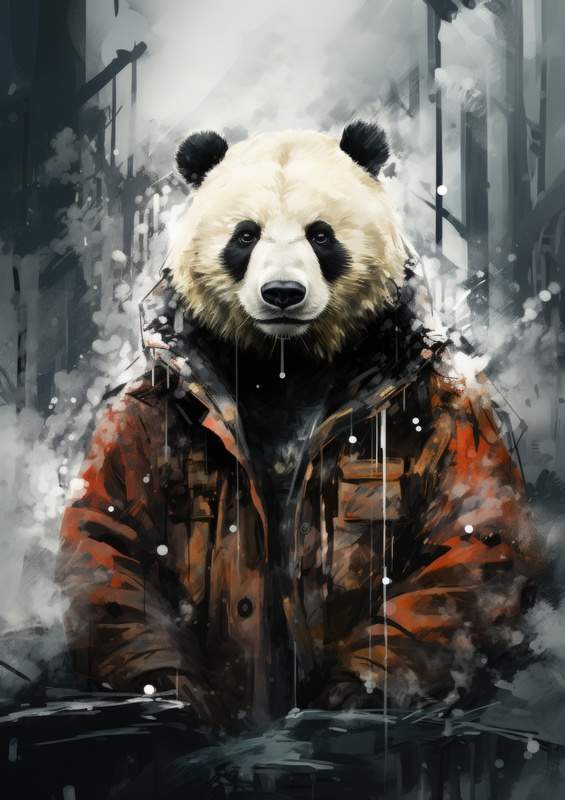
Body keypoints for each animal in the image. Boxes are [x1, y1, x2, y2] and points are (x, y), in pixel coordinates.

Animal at [58, 122, 538, 732]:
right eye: (245, 235)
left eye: (321, 235)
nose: (282, 293)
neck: (286, 359)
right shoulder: (146, 407)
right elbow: (111, 539)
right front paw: (184, 702)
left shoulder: (448, 405)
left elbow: (471, 539)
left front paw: (349, 699)